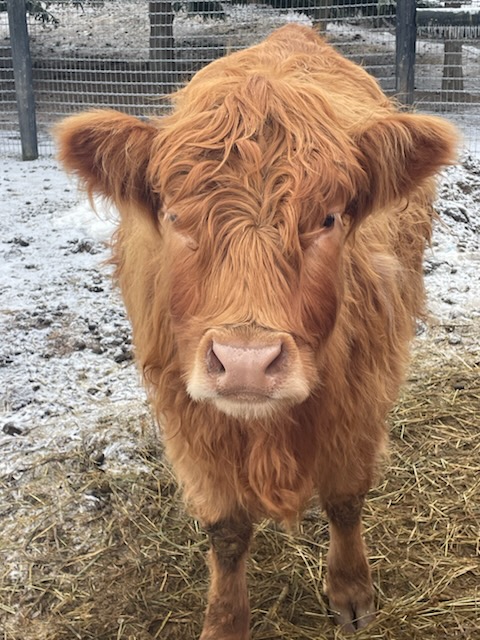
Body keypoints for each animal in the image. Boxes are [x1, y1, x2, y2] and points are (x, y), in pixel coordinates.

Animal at [56, 24, 457, 638]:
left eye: (328, 217)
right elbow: (227, 531)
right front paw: (225, 621)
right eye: (175, 216)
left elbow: (345, 499)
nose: (246, 362)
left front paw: (351, 589)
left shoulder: (362, 395)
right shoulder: (190, 417)